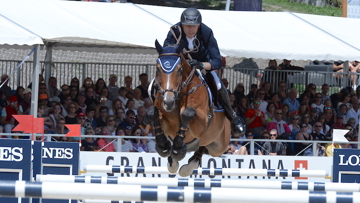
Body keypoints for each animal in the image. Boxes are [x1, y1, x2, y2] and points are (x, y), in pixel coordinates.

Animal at [145, 39, 232, 176]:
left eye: (180, 69)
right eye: (158, 69)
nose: (168, 102)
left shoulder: (201, 124)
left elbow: (187, 113)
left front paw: (178, 148)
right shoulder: (165, 121)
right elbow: (151, 112)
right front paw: (163, 146)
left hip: (219, 146)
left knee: (203, 147)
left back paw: (187, 166)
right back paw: (175, 161)